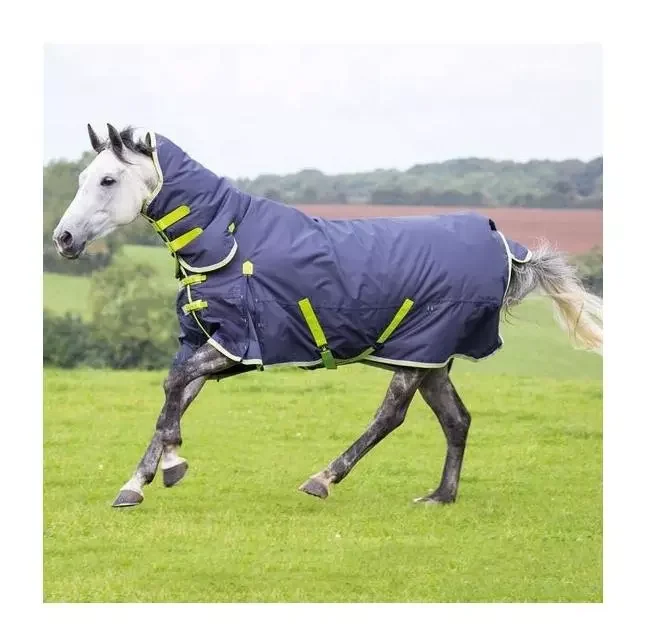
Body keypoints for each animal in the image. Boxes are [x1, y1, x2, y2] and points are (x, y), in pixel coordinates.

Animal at [52, 124, 603, 509]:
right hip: (431, 360)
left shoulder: (237, 348)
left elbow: (172, 387)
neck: (227, 241)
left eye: (107, 179)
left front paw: (172, 465)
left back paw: (323, 478)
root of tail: (507, 247)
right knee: (457, 420)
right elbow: (172, 401)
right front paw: (136, 484)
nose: (63, 239)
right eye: (81, 178)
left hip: (418, 352)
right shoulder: (211, 343)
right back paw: (439, 496)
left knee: (391, 416)